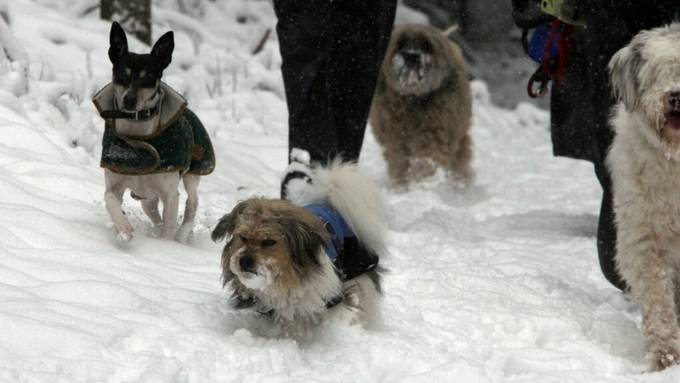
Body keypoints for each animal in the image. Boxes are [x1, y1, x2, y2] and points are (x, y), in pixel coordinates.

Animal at [94, 21, 214, 243]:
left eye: (148, 77)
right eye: (122, 74)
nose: (129, 100)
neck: (138, 134)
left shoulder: (170, 194)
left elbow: (169, 226)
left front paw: (164, 246)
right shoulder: (115, 182)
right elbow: (110, 199)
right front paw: (123, 228)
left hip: (194, 171)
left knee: (192, 202)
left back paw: (182, 235)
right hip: (147, 197)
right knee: (152, 211)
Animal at [370, 24, 470, 186]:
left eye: (427, 45)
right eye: (401, 43)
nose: (411, 55)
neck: (413, 98)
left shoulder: (436, 133)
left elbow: (427, 159)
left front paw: (422, 181)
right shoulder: (395, 139)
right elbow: (399, 161)